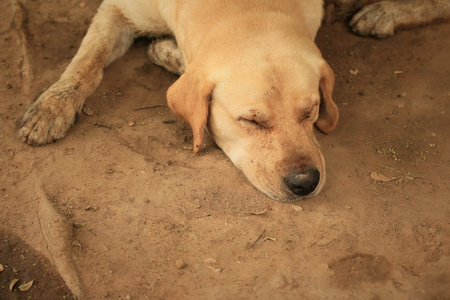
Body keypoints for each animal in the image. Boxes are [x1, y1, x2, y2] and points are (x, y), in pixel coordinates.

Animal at [18, 0, 450, 202]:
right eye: (251, 121)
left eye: (310, 111)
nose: (305, 184)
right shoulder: (120, 8)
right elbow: (86, 61)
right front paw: (52, 106)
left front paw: (166, 51)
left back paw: (385, 12)